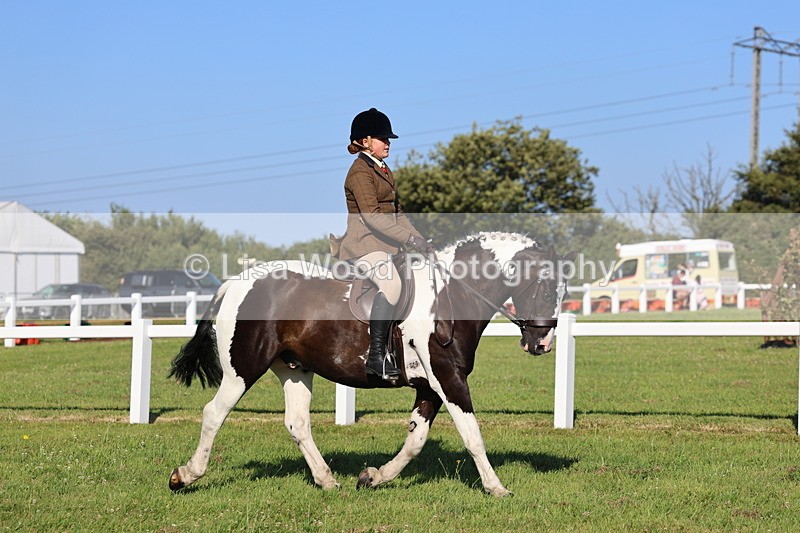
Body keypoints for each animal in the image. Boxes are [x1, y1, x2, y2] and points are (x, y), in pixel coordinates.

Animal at [168, 231, 568, 497]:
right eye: (549, 290)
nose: (542, 344)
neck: (453, 295)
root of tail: (235, 283)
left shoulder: (430, 386)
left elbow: (416, 440)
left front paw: (374, 476)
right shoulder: (448, 379)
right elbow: (473, 435)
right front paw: (497, 487)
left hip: (294, 369)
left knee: (297, 423)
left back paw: (328, 480)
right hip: (243, 369)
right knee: (214, 413)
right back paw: (186, 475)